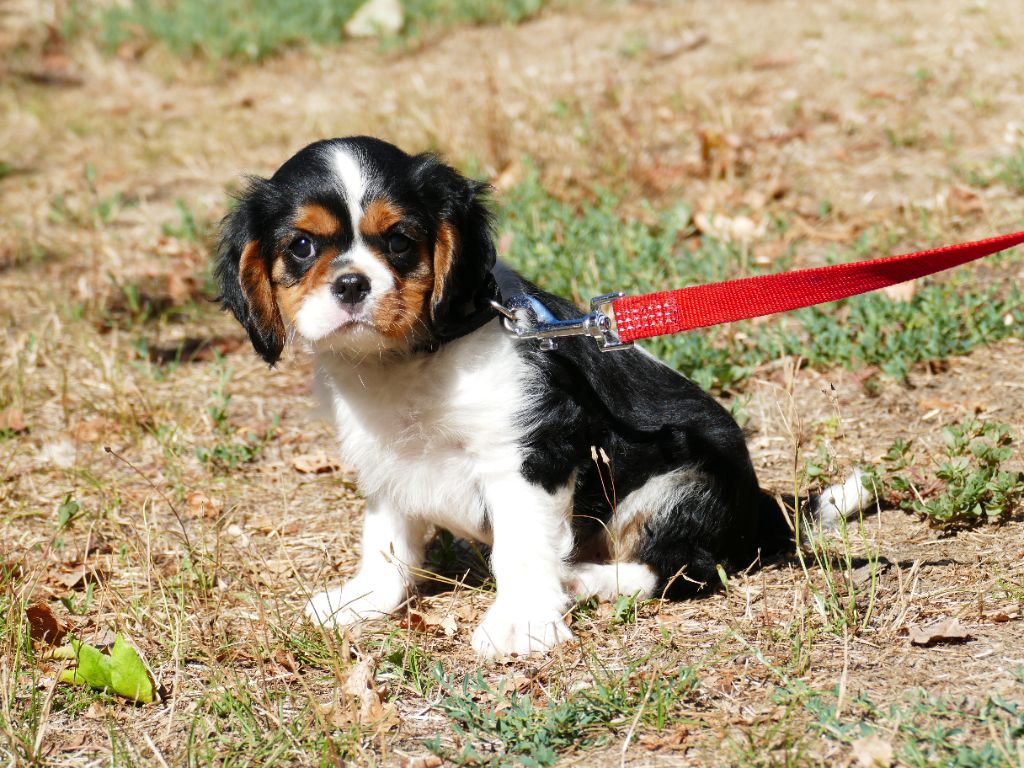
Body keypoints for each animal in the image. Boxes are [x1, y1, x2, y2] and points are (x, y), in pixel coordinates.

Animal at [218, 135, 872, 659]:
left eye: (400, 240)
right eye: (302, 246)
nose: (352, 284)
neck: (409, 357)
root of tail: (762, 509)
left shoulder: (529, 452)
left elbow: (522, 547)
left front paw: (521, 622)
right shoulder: (386, 461)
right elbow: (387, 542)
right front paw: (364, 601)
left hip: (681, 484)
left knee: (680, 569)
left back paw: (583, 580)